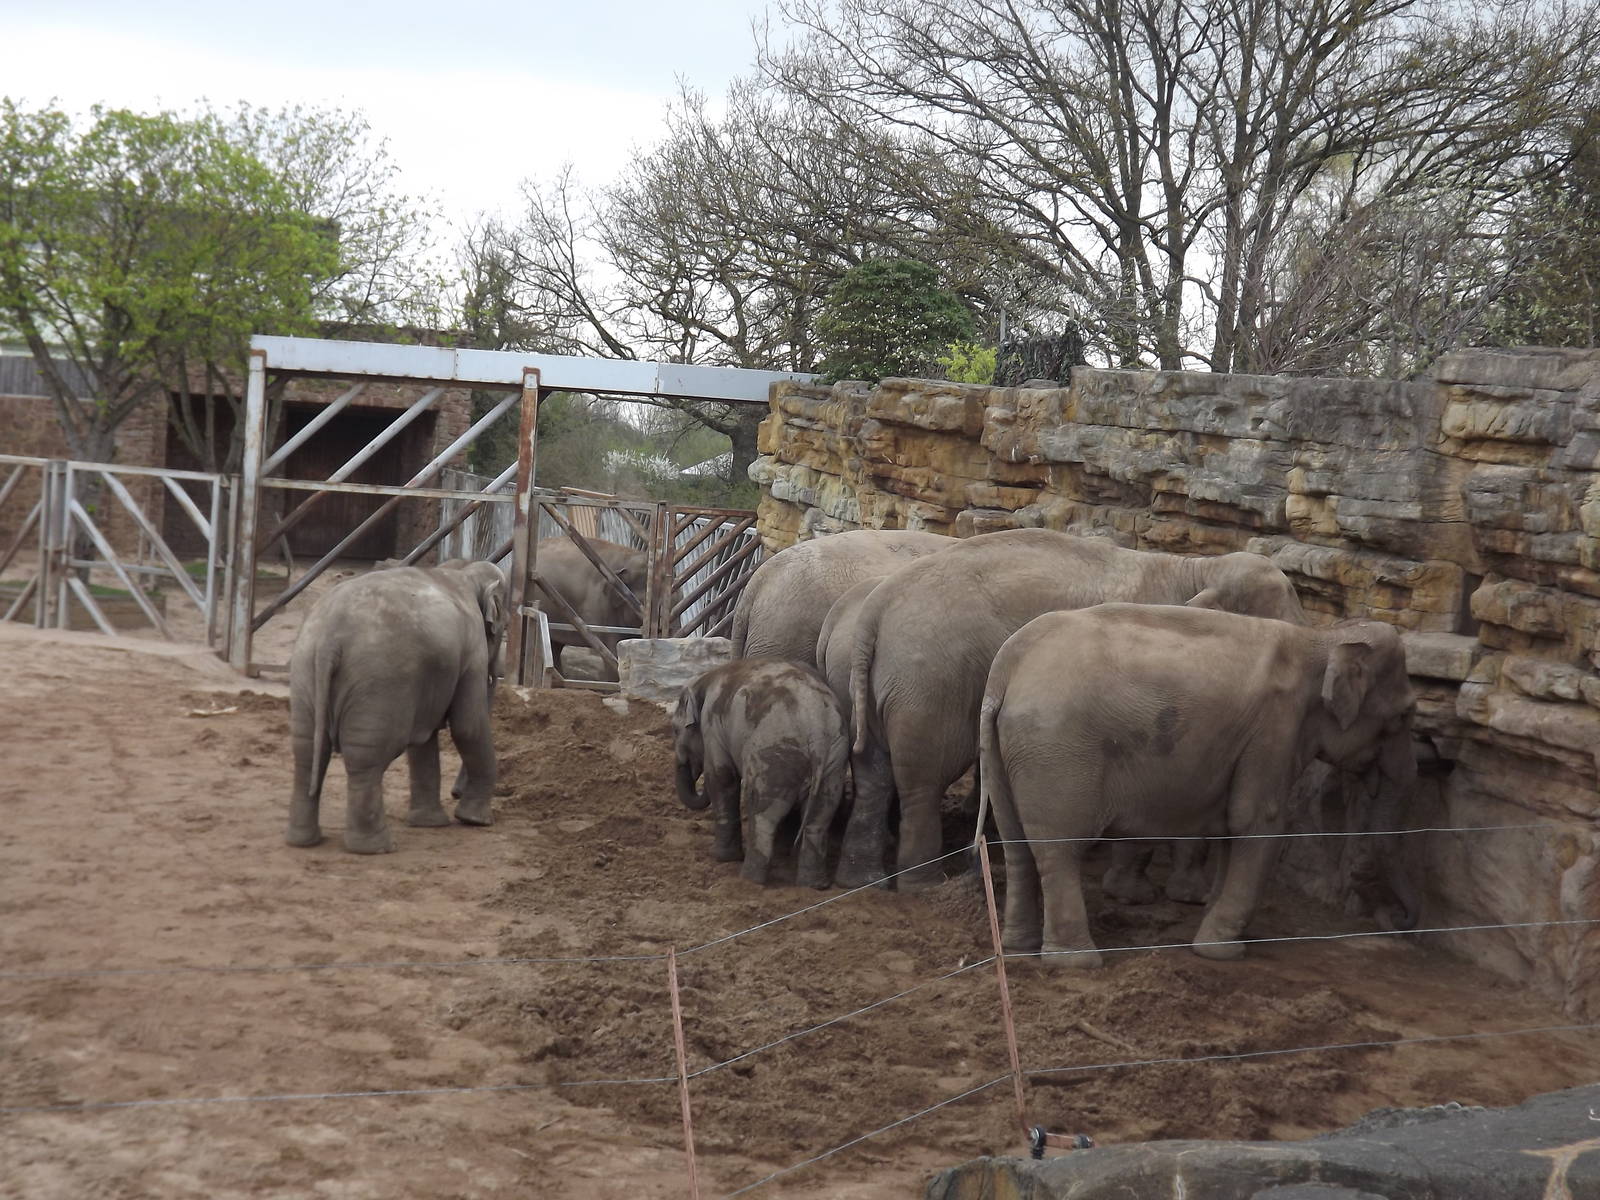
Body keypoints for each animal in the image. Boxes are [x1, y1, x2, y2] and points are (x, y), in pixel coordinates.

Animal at [286, 559, 506, 854]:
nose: (455, 792)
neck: (463, 571)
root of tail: (329, 639)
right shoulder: (472, 650)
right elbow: (467, 727)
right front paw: (475, 821)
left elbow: (424, 739)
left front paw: (431, 824)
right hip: (378, 682)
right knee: (365, 761)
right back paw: (376, 847)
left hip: (304, 671)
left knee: (308, 752)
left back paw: (304, 841)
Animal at [672, 659, 850, 888]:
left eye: (675, 730)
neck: (705, 678)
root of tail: (817, 725)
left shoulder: (712, 725)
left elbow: (721, 778)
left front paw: (721, 857)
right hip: (834, 759)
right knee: (819, 819)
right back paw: (813, 886)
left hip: (774, 754)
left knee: (763, 814)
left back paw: (749, 880)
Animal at [841, 529, 1307, 889]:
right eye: (1283, 606)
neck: (1197, 568)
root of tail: (876, 609)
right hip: (931, 683)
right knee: (923, 780)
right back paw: (924, 883)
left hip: (888, 683)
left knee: (874, 772)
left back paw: (864, 879)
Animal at [979, 604, 1419, 967]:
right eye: (1403, 716)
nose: (1401, 923)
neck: (1322, 638)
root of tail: (1004, 671)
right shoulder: (1275, 728)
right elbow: (1258, 823)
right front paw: (1223, 952)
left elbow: (1232, 830)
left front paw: (1219, 928)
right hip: (1058, 754)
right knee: (1059, 850)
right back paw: (1076, 962)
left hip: (1009, 753)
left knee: (1017, 845)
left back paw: (1017, 950)